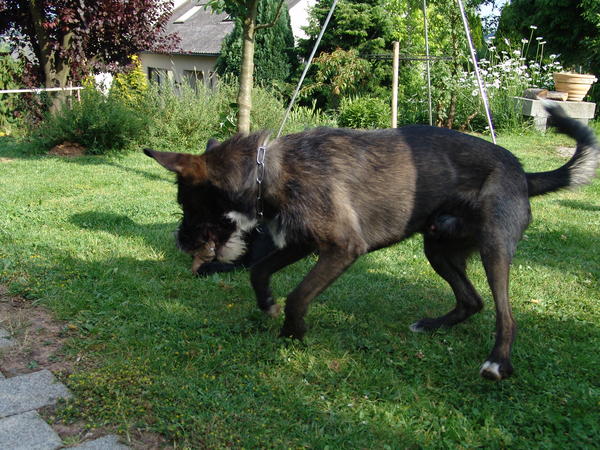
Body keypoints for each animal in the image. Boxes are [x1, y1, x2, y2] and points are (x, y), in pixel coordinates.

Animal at [145, 103, 600, 382]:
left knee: (506, 314)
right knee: (472, 300)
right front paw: (267, 305)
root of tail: (523, 172)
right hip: (438, 246)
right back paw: (433, 325)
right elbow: (259, 271)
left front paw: (292, 333)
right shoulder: (301, 243)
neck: (266, 172)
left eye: (187, 205)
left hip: (493, 249)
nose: (180, 242)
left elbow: (299, 295)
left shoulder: (343, 248)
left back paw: (498, 361)